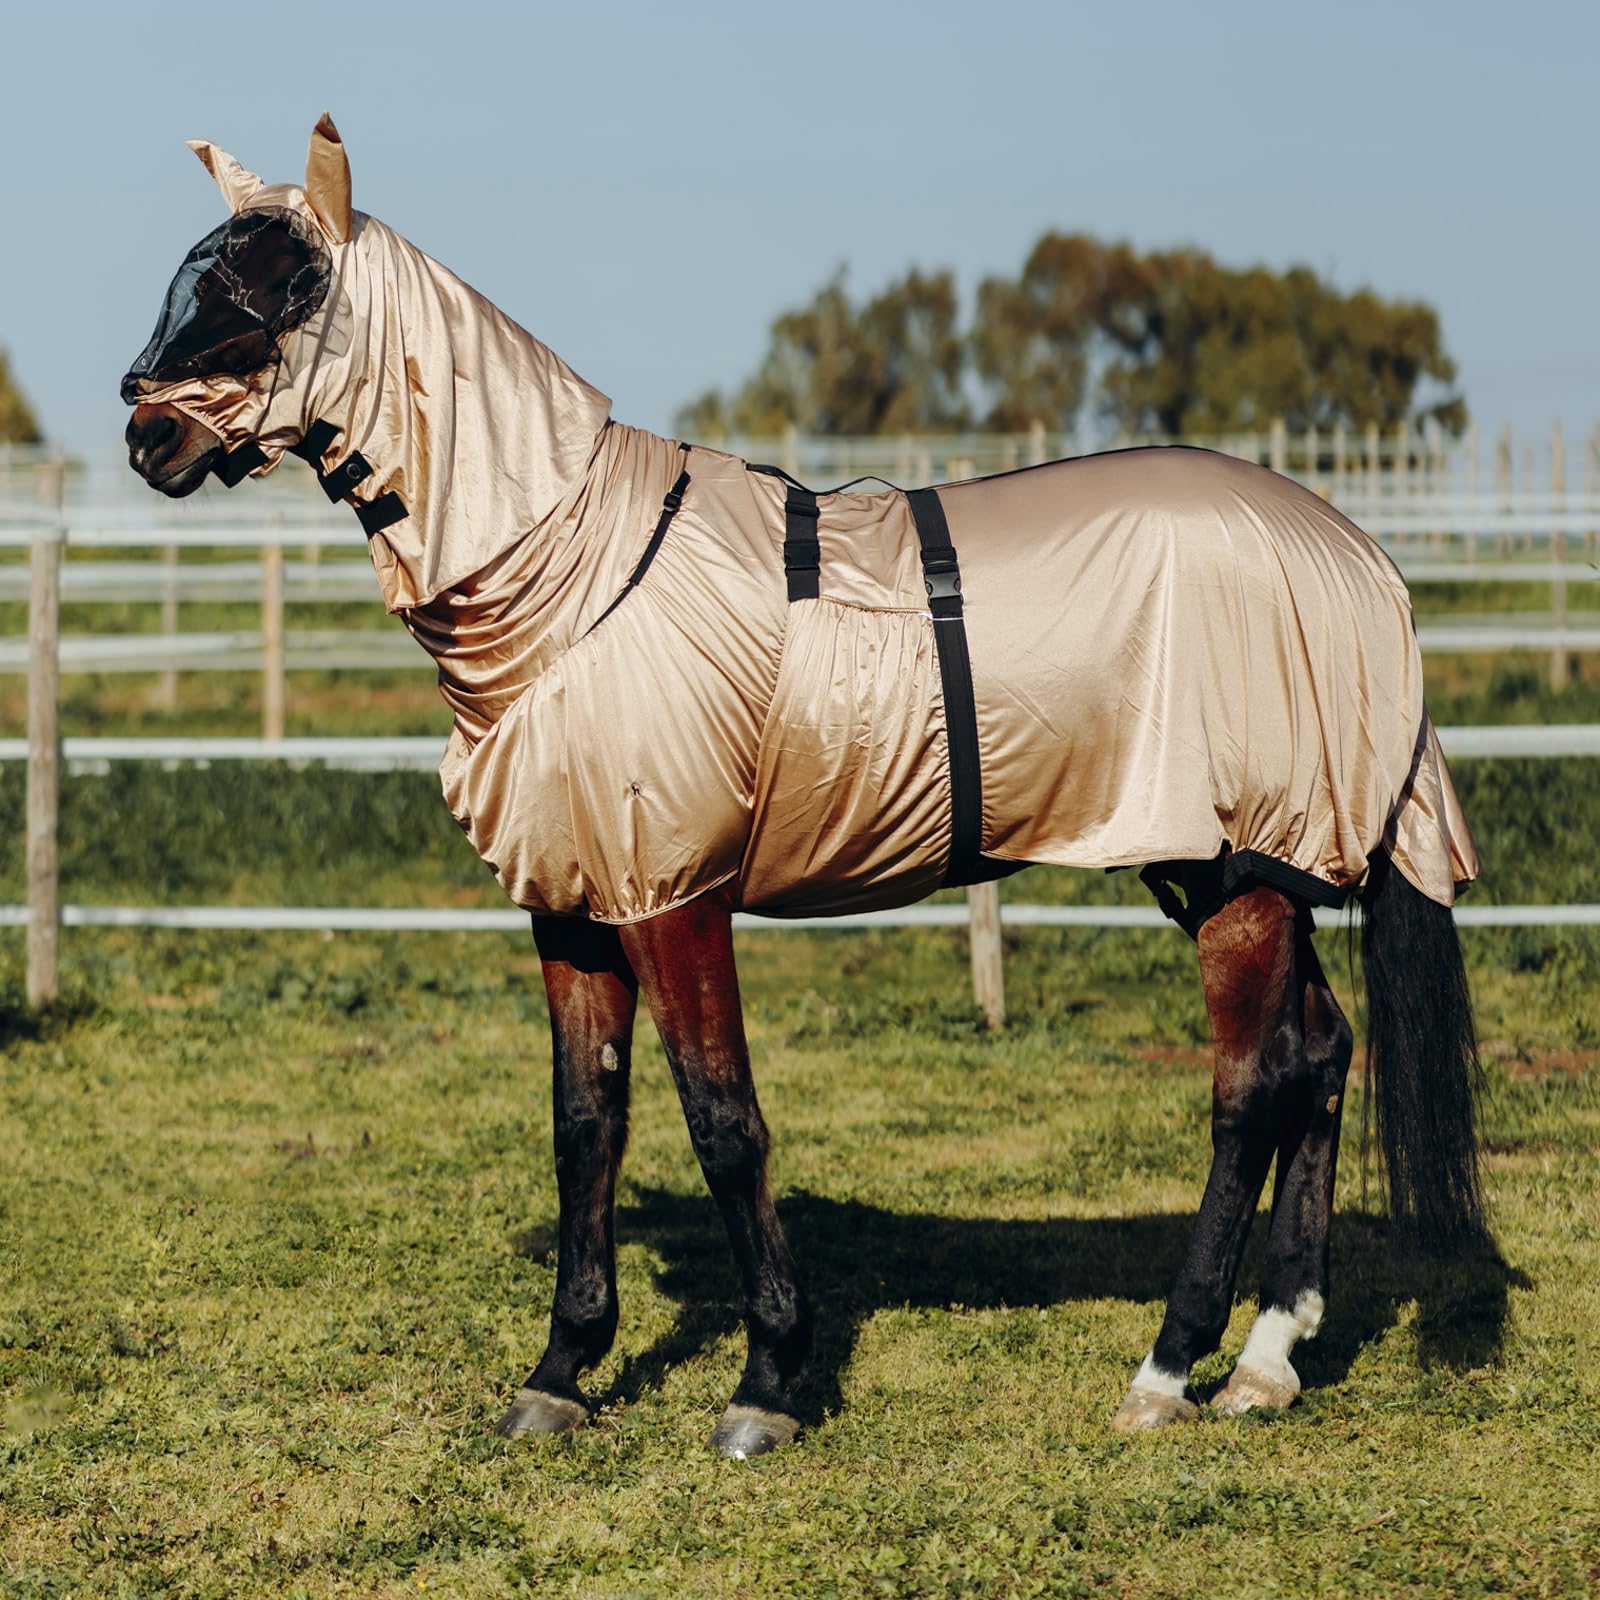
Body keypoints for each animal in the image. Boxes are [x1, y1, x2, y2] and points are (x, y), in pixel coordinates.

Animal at [123, 115, 1487, 1457]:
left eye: (285, 287)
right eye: (196, 276)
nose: (147, 434)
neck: (575, 570)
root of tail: (1356, 555)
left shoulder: (672, 898)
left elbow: (724, 1124)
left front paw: (768, 1379)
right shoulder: (574, 904)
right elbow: (585, 1125)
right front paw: (560, 1371)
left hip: (1235, 876)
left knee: (1251, 1089)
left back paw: (1165, 1367)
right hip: (1250, 875)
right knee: (1320, 1057)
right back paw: (1267, 1358)